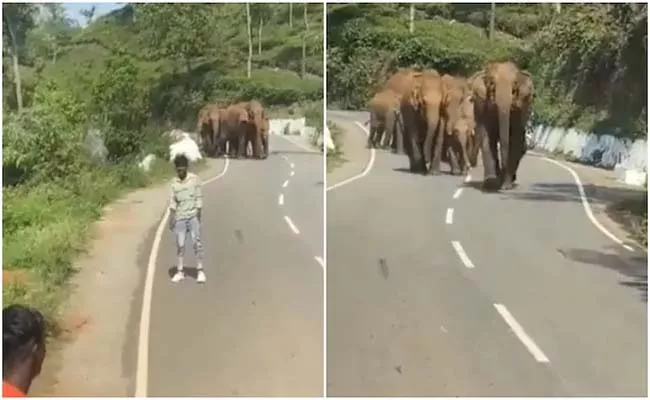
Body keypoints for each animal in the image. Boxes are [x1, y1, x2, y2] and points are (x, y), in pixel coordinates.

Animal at [468, 61, 536, 190]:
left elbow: (515, 140)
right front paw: (491, 184)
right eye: (491, 84)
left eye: (515, 85)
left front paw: (506, 186)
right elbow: (488, 138)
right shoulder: (483, 105)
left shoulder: (521, 109)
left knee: (521, 145)